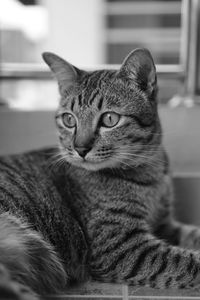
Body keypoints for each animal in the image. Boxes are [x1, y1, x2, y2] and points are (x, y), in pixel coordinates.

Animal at [1, 48, 200, 298]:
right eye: (69, 119)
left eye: (109, 119)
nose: (80, 148)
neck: (150, 174)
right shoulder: (120, 246)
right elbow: (184, 262)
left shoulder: (164, 224)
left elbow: (192, 234)